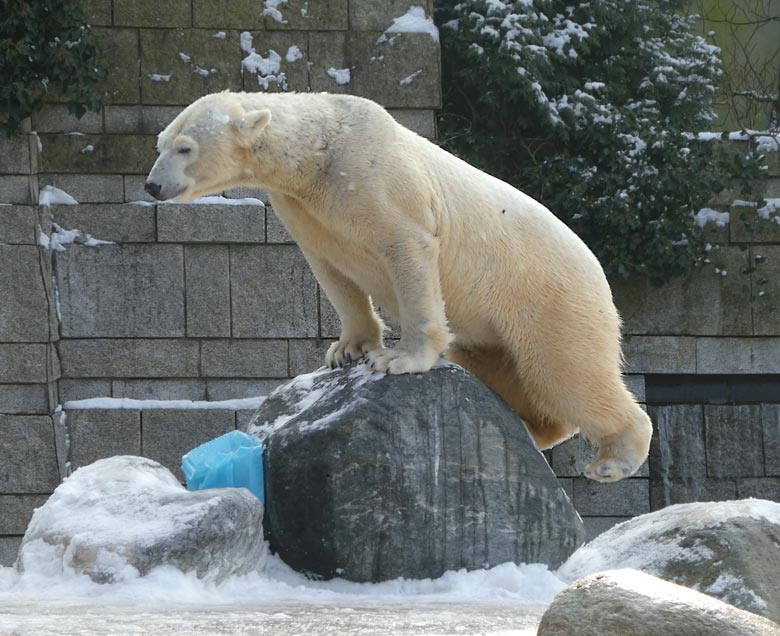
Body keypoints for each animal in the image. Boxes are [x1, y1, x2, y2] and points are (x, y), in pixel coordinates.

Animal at [145, 90, 652, 482]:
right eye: (160, 143)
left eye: (185, 148)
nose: (151, 186)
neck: (320, 153)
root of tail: (598, 271)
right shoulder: (304, 208)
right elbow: (331, 269)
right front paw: (346, 349)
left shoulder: (379, 181)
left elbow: (408, 249)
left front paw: (398, 359)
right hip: (495, 331)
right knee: (509, 372)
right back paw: (528, 429)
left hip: (548, 297)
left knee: (566, 372)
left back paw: (612, 461)